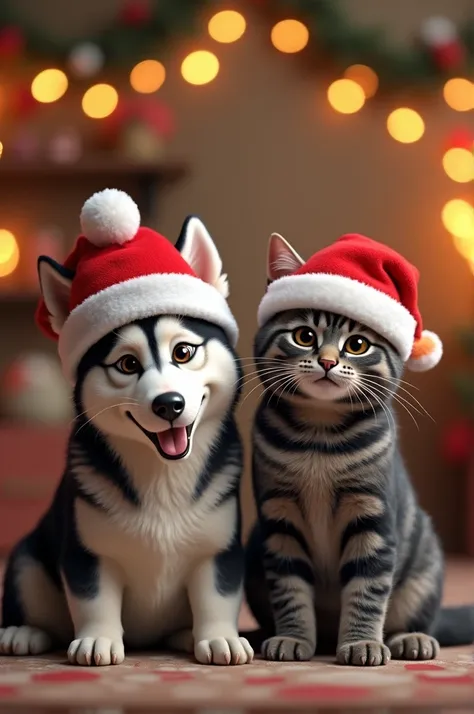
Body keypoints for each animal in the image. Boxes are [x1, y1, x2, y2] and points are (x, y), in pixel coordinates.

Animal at [0, 188, 252, 660]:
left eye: (184, 352)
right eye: (128, 364)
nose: (169, 404)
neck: (163, 476)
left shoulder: (220, 547)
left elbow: (218, 596)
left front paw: (218, 637)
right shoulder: (86, 551)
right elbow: (94, 598)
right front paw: (98, 638)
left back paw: (183, 635)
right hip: (29, 558)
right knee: (30, 585)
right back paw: (23, 631)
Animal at [244, 232, 474, 660]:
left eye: (357, 344)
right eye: (304, 336)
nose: (328, 362)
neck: (319, 436)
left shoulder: (372, 516)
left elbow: (368, 590)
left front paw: (362, 642)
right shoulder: (279, 518)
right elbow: (290, 591)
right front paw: (293, 637)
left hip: (425, 564)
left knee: (419, 620)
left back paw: (410, 639)